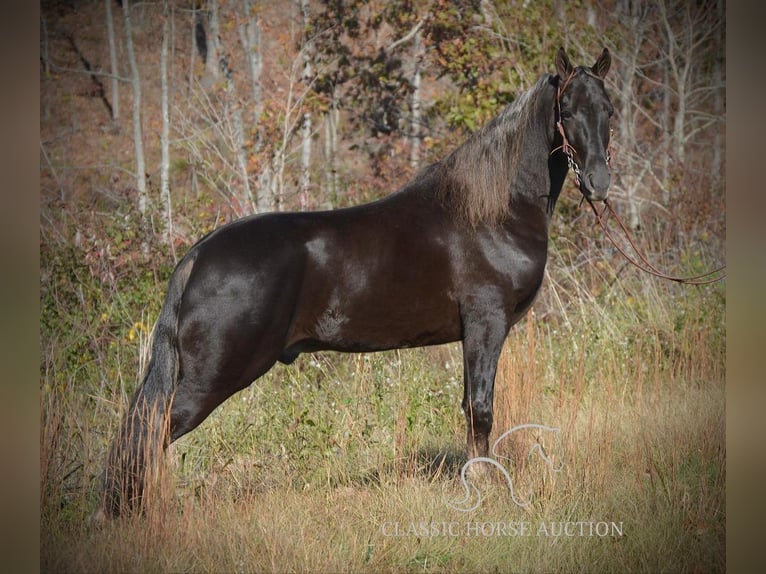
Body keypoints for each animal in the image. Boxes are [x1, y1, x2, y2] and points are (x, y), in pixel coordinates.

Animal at [103, 48, 616, 516]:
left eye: (609, 111)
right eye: (567, 112)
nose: (599, 182)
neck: (492, 212)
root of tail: (199, 255)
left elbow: (472, 406)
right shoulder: (485, 325)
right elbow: (481, 409)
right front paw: (484, 484)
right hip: (215, 375)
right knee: (148, 431)